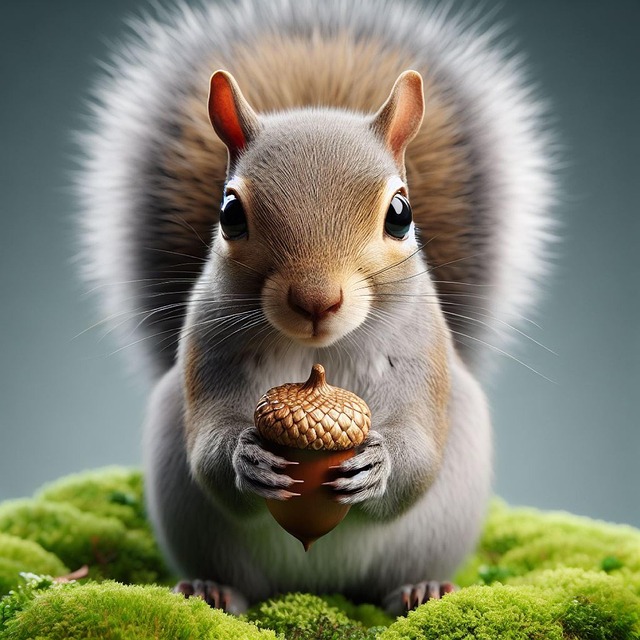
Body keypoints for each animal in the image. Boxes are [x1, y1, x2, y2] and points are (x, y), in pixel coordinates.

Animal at [78, 0, 553, 616]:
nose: (316, 299)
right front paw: (247, 459)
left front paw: (379, 465)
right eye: (229, 213)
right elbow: (208, 451)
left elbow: (420, 458)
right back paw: (212, 589)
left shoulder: (426, 355)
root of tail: (320, 587)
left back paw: (420, 589)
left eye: (400, 213)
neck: (318, 356)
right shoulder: (205, 348)